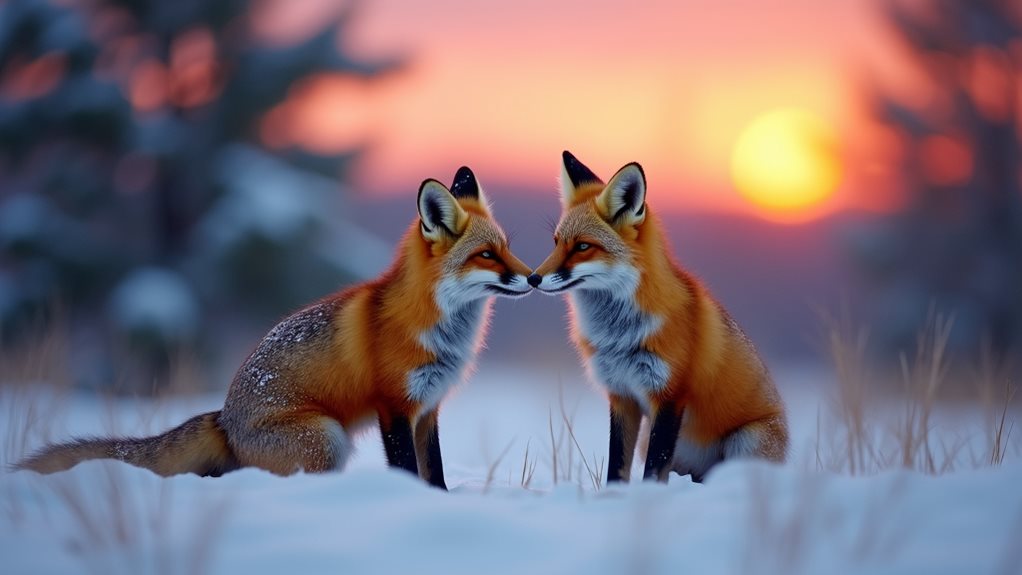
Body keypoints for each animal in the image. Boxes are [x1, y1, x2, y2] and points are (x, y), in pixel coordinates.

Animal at [14, 167, 533, 489]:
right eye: (487, 255)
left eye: (506, 248)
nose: (531, 278)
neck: (438, 329)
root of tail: (225, 419)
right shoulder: (394, 406)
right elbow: (408, 469)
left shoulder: (428, 409)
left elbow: (436, 472)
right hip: (327, 438)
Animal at [528, 151, 788, 484]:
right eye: (556, 242)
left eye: (583, 246)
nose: (533, 278)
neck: (618, 335)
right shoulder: (621, 395)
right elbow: (617, 466)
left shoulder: (670, 396)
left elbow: (654, 469)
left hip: (746, 440)